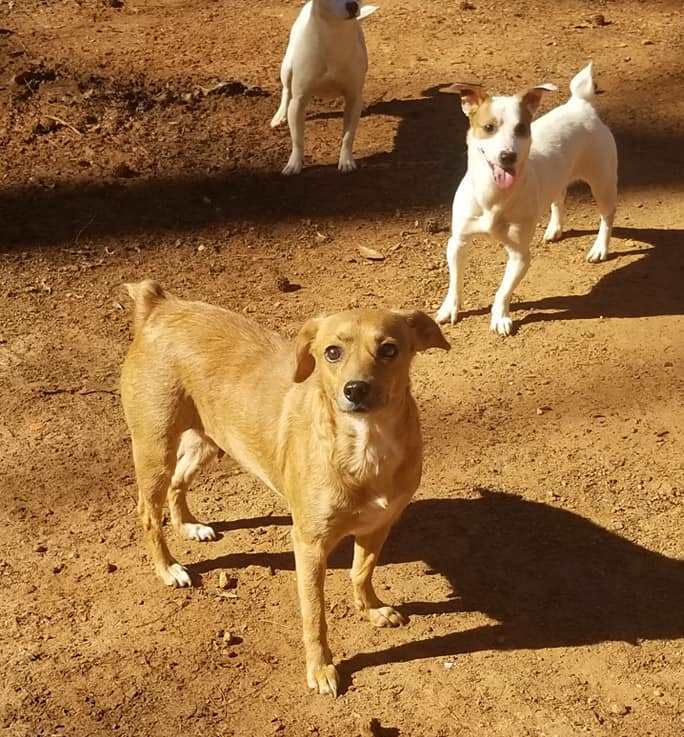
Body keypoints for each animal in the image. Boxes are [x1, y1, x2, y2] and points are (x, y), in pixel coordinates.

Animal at [119, 278, 448, 692]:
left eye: (389, 349)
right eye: (332, 352)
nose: (355, 389)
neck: (365, 447)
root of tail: (161, 305)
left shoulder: (379, 524)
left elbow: (361, 572)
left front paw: (371, 609)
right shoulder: (308, 545)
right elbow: (314, 617)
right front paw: (321, 669)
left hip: (209, 441)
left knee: (180, 482)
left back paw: (189, 526)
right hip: (155, 449)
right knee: (148, 513)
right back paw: (168, 569)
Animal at [272, 0, 380, 175]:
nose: (353, 5)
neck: (334, 35)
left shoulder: (353, 99)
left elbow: (348, 136)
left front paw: (346, 161)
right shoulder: (298, 102)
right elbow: (297, 139)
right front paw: (294, 164)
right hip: (287, 67)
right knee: (286, 90)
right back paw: (279, 116)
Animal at [438, 64, 620, 334]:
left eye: (521, 128)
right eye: (489, 127)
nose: (508, 156)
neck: (493, 197)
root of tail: (580, 104)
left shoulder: (520, 255)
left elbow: (503, 291)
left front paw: (500, 317)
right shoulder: (458, 243)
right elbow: (455, 282)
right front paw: (450, 308)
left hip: (602, 183)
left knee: (607, 216)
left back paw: (599, 248)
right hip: (560, 178)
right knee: (559, 197)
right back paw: (555, 229)